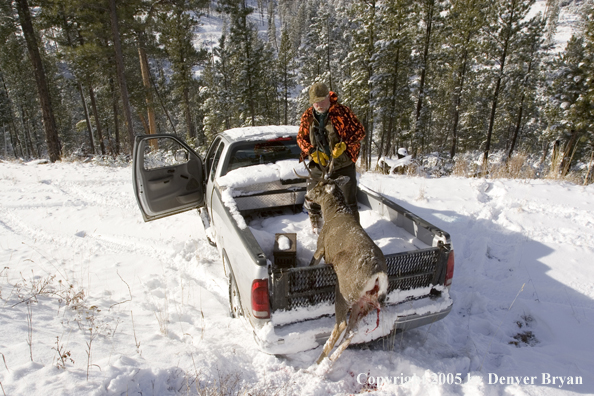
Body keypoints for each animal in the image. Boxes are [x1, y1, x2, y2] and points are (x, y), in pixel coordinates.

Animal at [292, 159, 386, 366]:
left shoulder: (321, 246)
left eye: (318, 186)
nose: (307, 196)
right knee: (352, 330)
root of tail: (378, 275)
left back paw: (317, 363)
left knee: (341, 324)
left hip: (345, 291)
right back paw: (329, 362)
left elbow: (312, 264)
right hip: (367, 302)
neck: (335, 213)